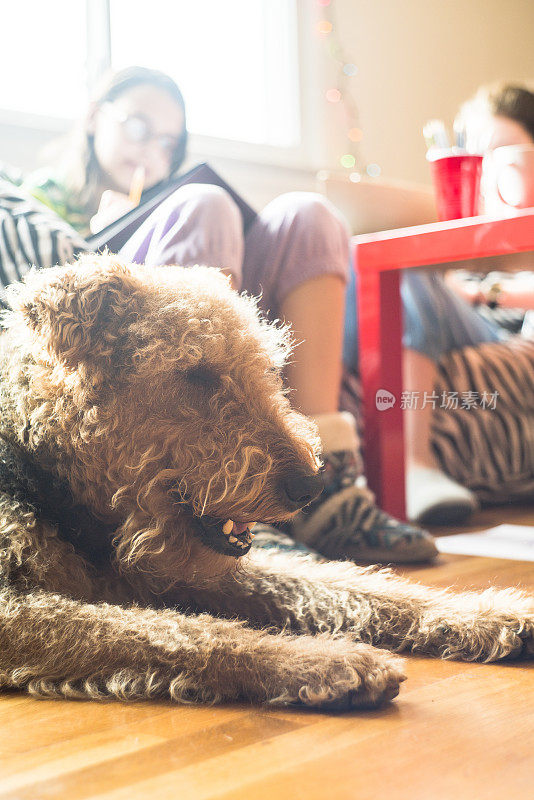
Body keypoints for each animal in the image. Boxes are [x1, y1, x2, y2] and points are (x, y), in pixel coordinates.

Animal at [0, 253, 532, 708]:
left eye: (265, 366)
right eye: (196, 373)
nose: (310, 486)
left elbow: (349, 586)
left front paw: (489, 616)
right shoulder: (15, 609)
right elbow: (180, 632)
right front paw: (327, 661)